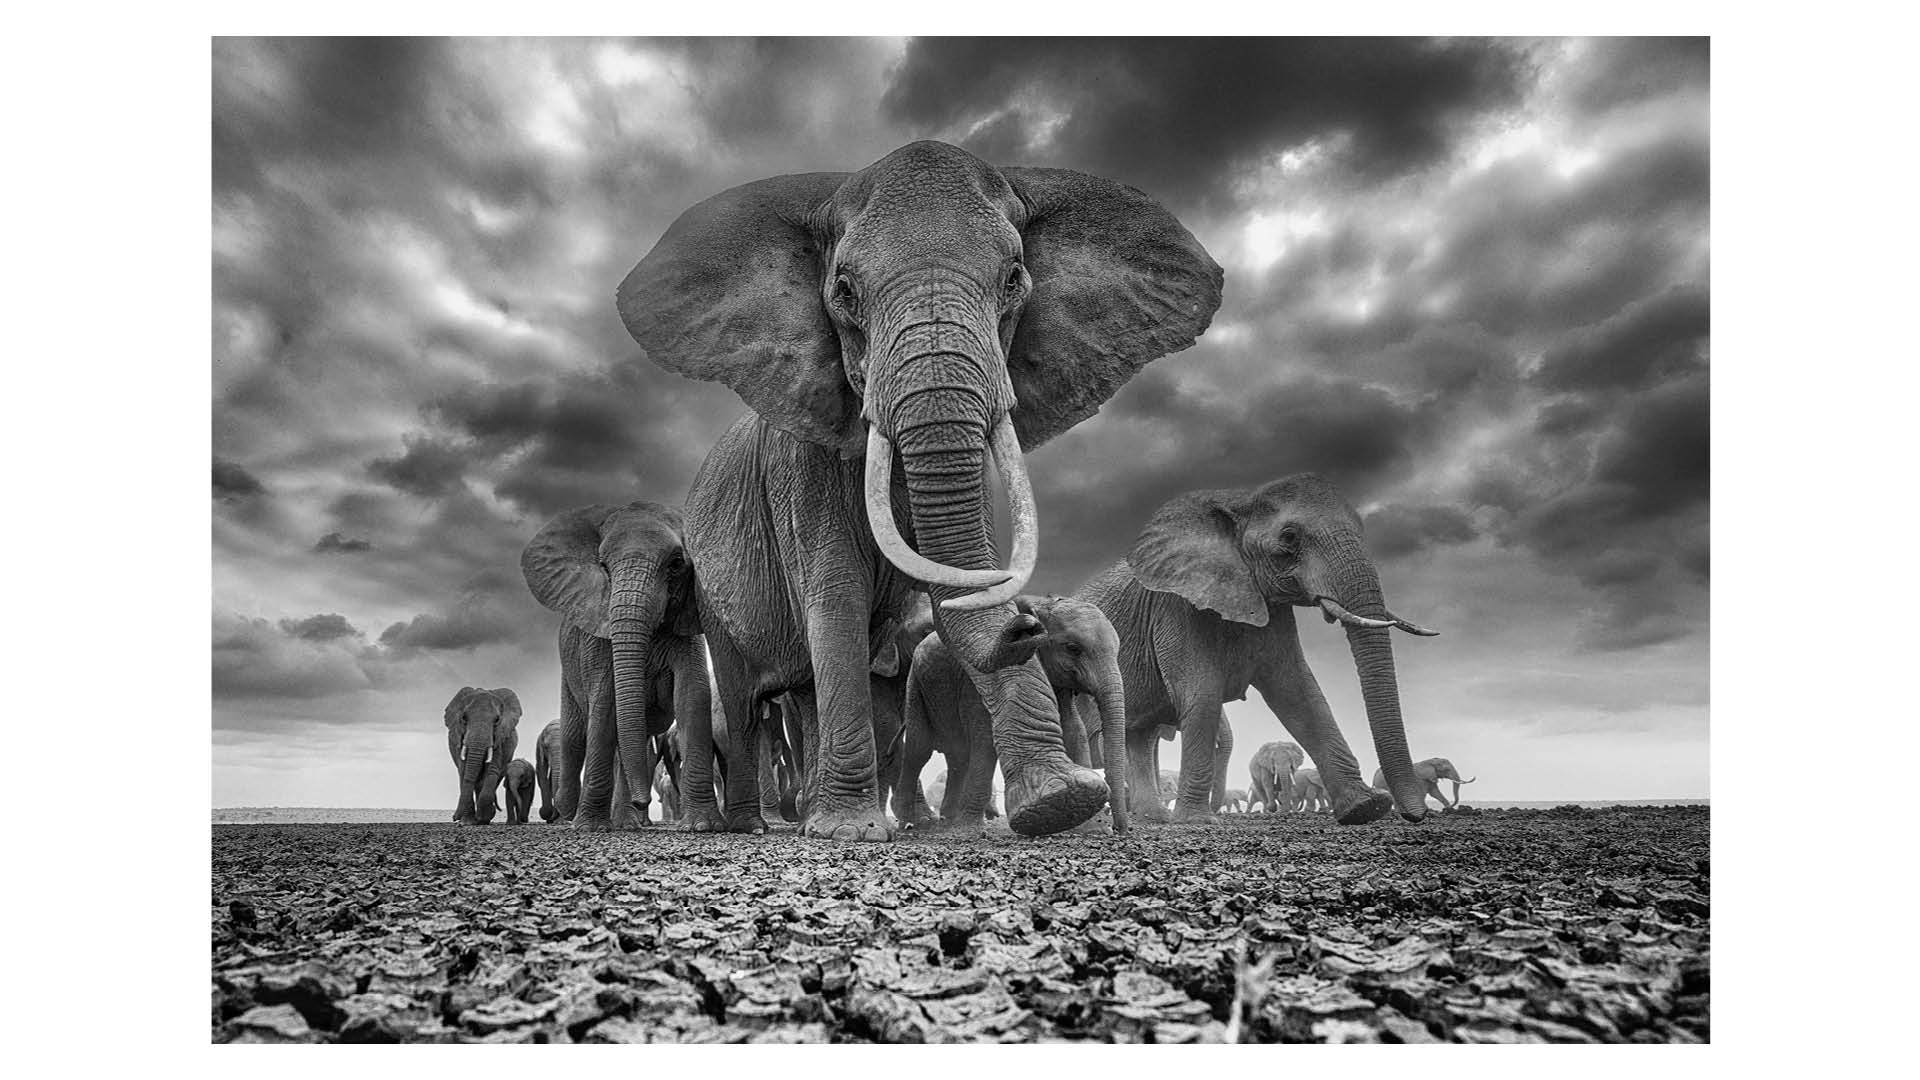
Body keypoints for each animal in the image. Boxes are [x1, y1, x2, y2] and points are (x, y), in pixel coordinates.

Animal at [443, 687, 522, 825]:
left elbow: (491, 770)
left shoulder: (499, 739)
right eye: (464, 718)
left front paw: (483, 818)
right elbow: (464, 771)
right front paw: (467, 823)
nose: (454, 817)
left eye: (497, 720)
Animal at [521, 501, 711, 831]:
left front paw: (701, 826)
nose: (644, 801)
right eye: (603, 566)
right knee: (575, 736)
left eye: (676, 563)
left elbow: (691, 696)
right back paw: (573, 813)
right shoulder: (599, 633)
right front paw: (590, 828)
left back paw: (626, 823)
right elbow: (605, 702)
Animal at [895, 595, 1129, 832]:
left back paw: (948, 819)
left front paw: (1090, 825)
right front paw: (970, 828)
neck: (1041, 604)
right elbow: (985, 737)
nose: (1120, 829)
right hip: (915, 686)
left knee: (958, 755)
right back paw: (916, 820)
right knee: (919, 749)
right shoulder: (978, 680)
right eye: (1073, 648)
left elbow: (1074, 731)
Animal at [1077, 473, 1439, 825]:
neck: (1238, 501)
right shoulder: (1174, 607)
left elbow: (1299, 693)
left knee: (1140, 737)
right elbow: (1202, 694)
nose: (1414, 815)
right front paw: (1195, 822)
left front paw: (1366, 808)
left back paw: (1154, 817)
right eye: (1290, 537)